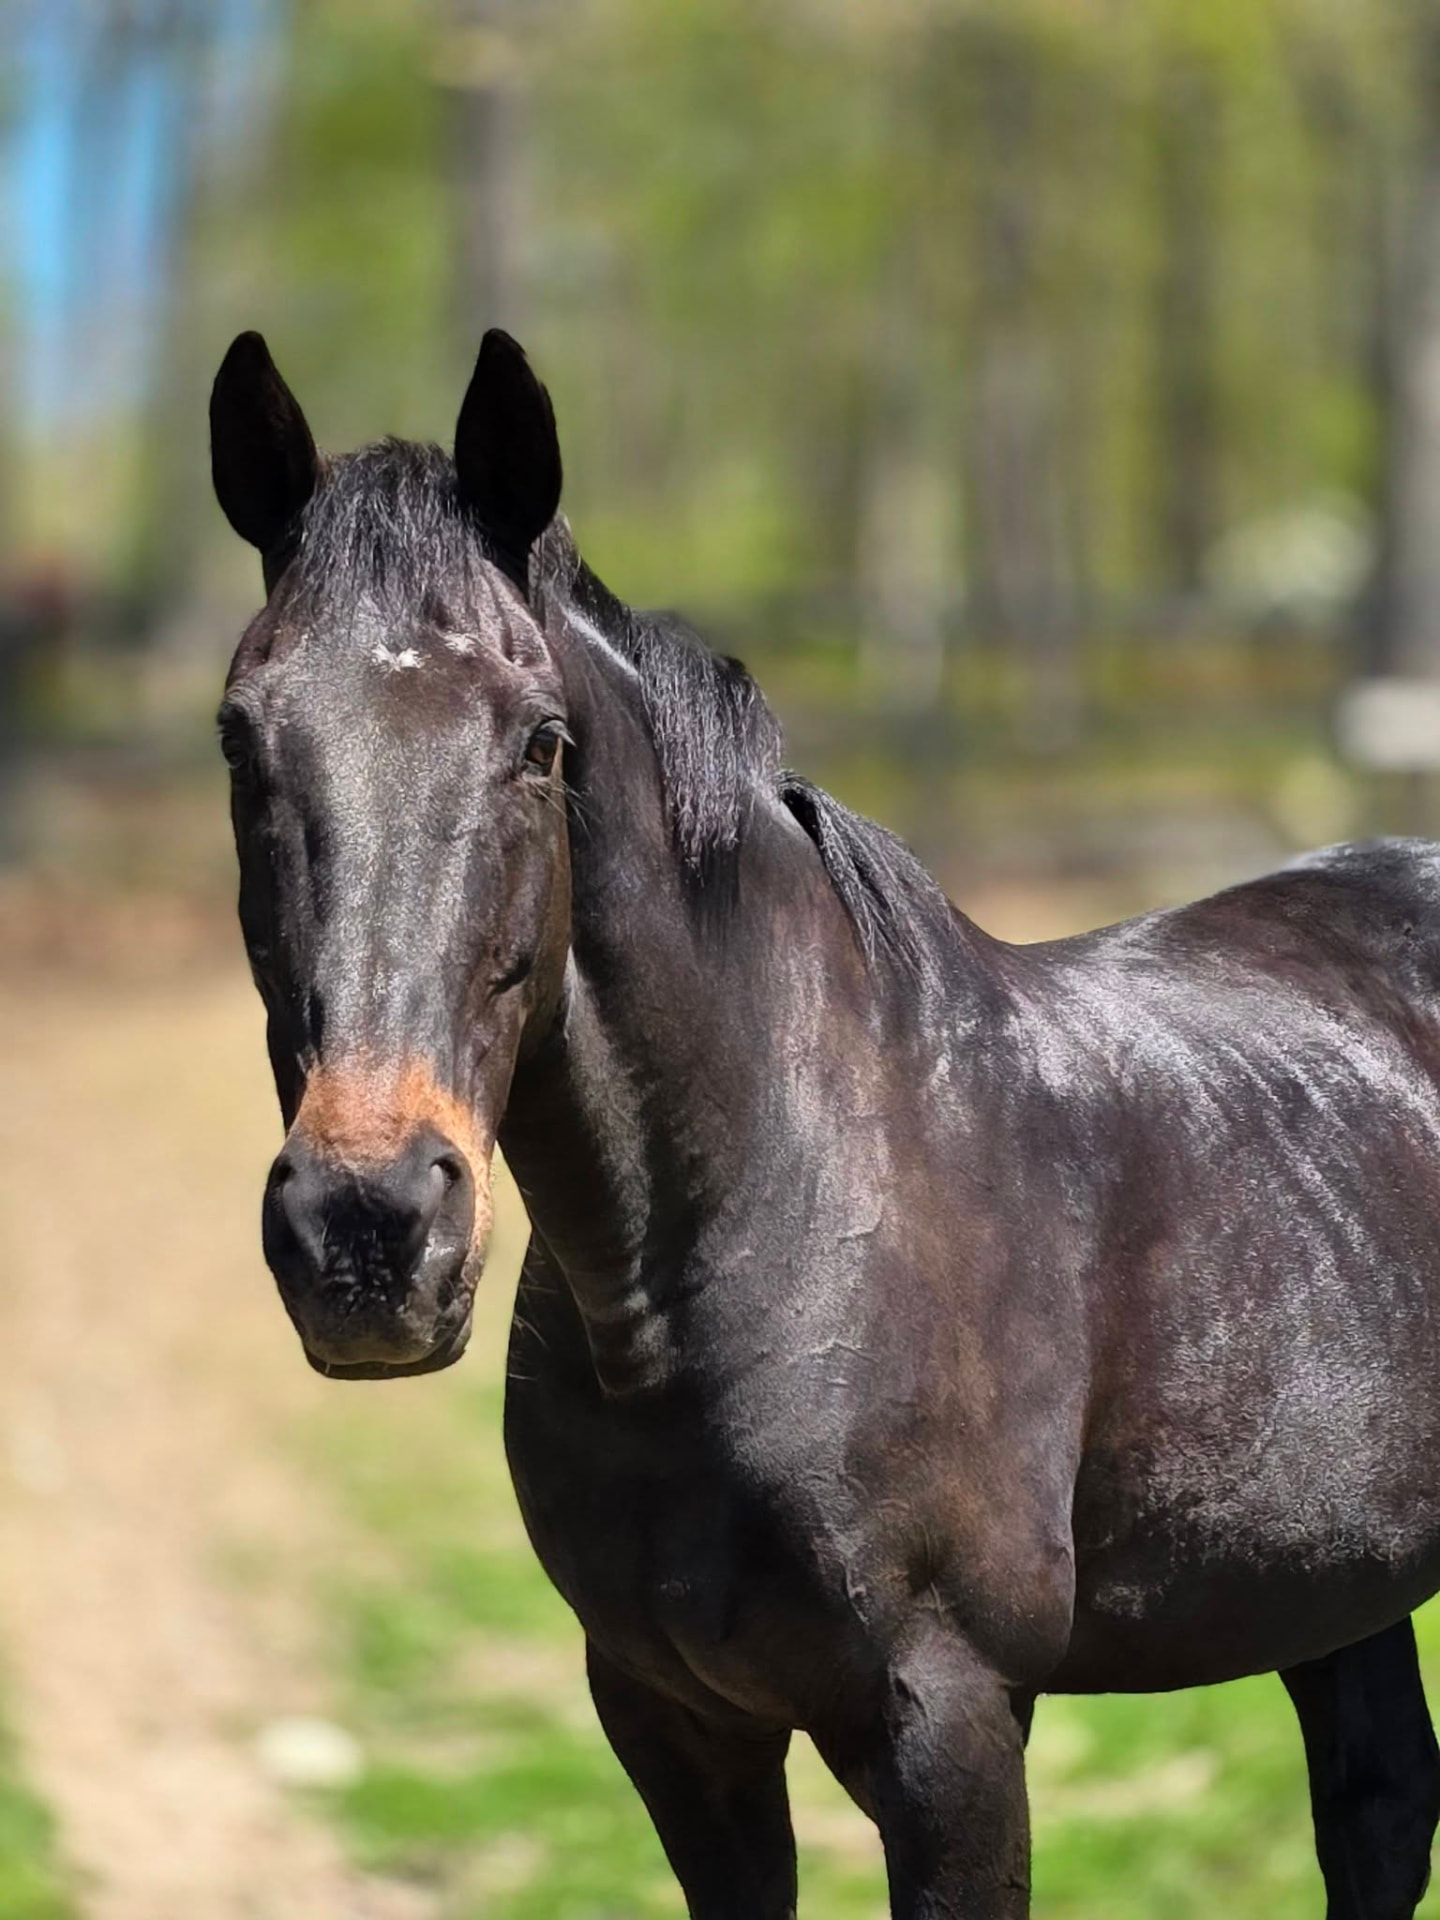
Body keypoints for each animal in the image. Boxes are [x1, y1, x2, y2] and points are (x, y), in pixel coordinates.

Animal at [210, 326, 1440, 1918]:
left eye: (539, 744)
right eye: (239, 741)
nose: (366, 1233)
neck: (777, 1218)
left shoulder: (951, 1731)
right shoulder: (673, 1722)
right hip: (1331, 1586)